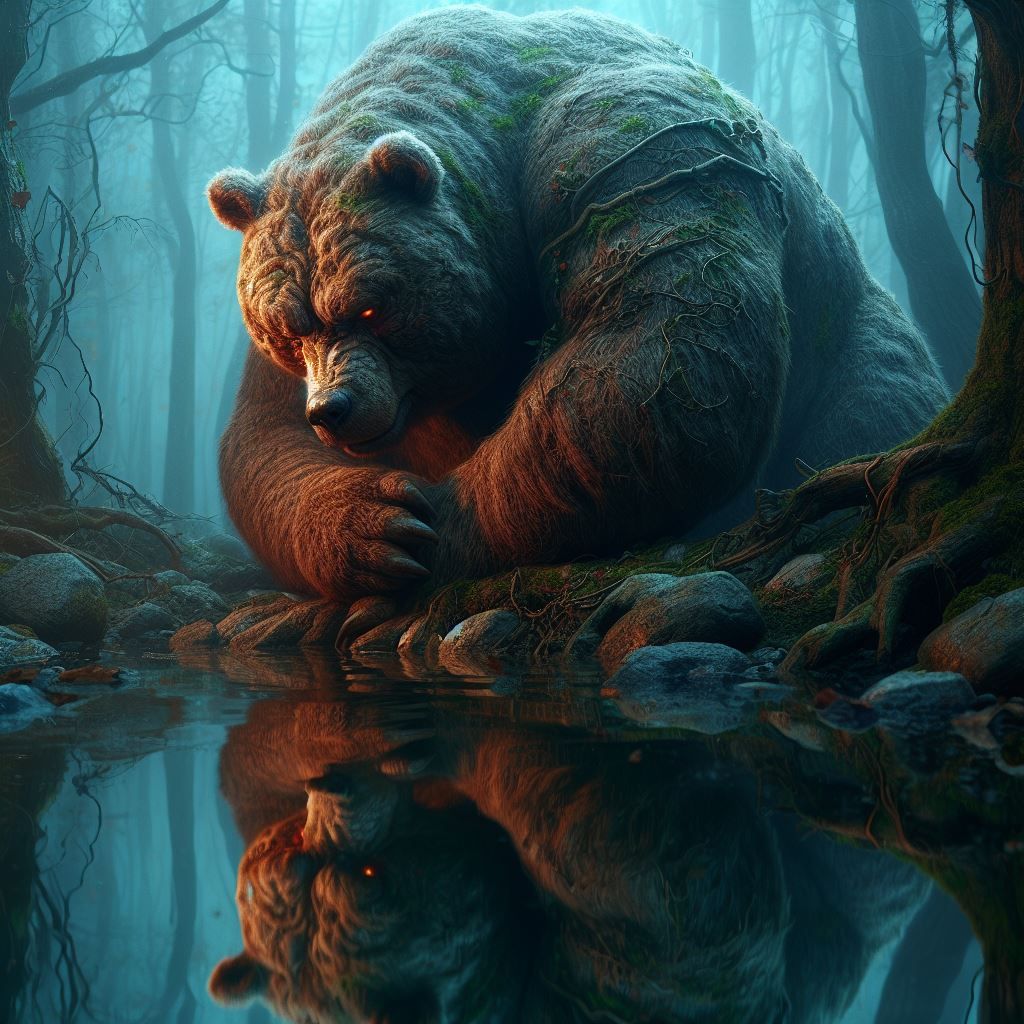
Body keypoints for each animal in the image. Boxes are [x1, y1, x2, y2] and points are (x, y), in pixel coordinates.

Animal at [208, 6, 948, 611]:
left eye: (368, 310)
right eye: (288, 331)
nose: (333, 409)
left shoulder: (623, 154)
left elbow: (655, 353)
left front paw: (440, 521)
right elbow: (263, 439)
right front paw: (371, 524)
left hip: (849, 330)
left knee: (870, 412)